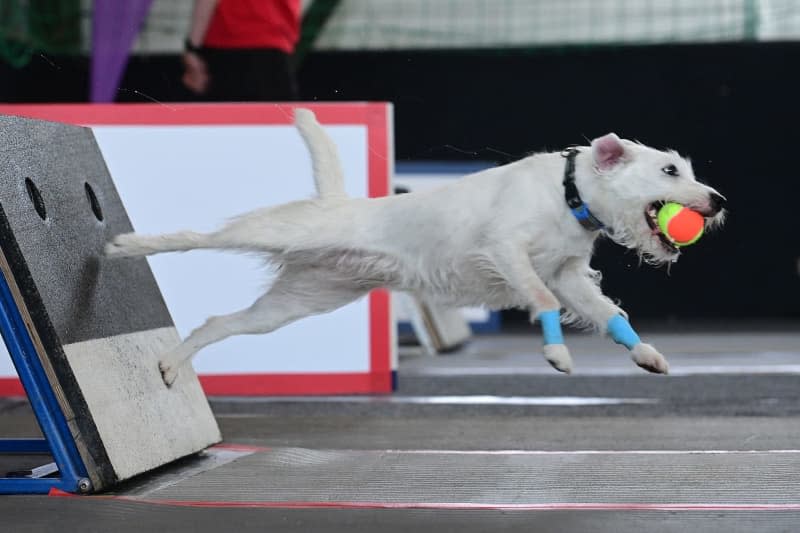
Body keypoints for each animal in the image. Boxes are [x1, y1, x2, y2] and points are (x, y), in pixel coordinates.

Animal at [104, 108, 724, 384]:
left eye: (686, 169)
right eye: (670, 170)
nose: (718, 201)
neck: (568, 194)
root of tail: (340, 204)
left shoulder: (569, 273)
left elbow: (609, 314)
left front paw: (645, 354)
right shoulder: (509, 253)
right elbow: (543, 302)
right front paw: (556, 353)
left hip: (300, 301)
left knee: (220, 324)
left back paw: (171, 363)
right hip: (280, 232)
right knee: (199, 238)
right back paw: (127, 246)